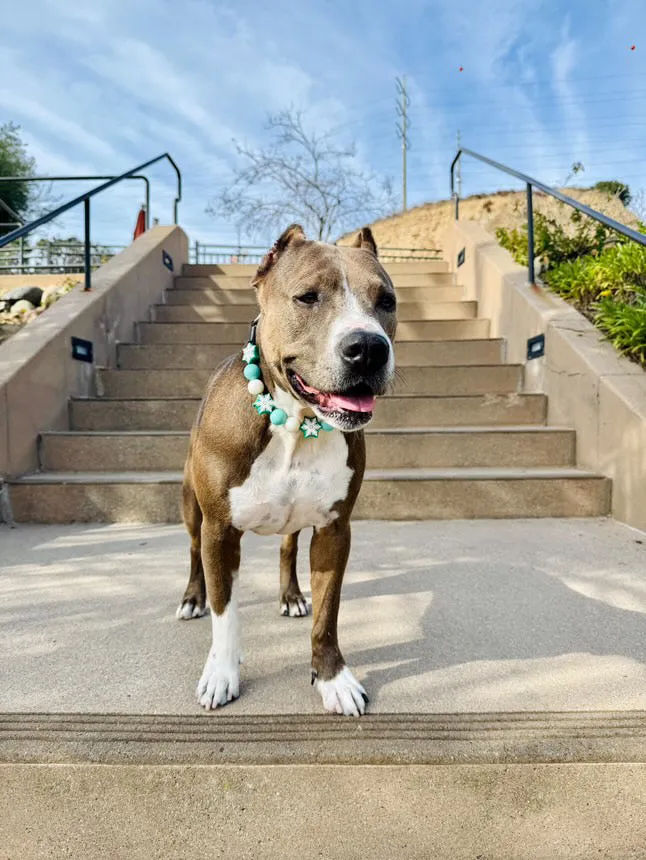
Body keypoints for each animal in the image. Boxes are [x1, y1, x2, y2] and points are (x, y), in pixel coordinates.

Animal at [180, 222, 398, 712]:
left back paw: (292, 595)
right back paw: (192, 598)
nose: (368, 347)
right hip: (191, 507)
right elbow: (226, 612)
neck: (294, 424)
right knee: (193, 552)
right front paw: (221, 673)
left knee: (286, 547)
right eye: (307, 297)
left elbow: (328, 613)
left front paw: (332, 677)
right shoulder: (219, 529)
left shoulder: (335, 530)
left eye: (387, 301)